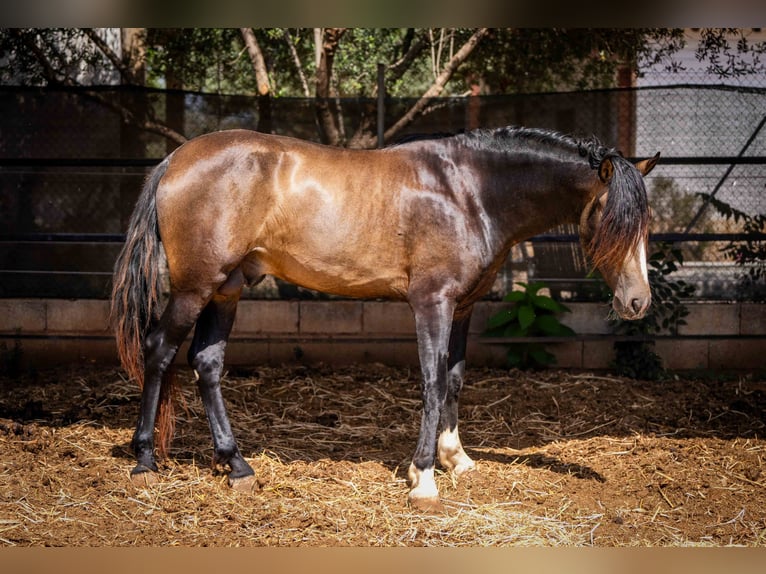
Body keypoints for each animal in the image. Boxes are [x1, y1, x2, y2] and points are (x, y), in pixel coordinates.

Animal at [109, 124, 660, 510]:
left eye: (646, 223)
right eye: (611, 219)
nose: (638, 302)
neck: (469, 191)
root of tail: (175, 160)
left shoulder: (463, 306)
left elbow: (454, 379)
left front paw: (456, 459)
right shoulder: (432, 303)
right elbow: (432, 382)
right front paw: (423, 479)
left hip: (226, 290)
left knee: (207, 363)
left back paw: (237, 466)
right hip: (196, 287)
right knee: (159, 350)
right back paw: (145, 460)